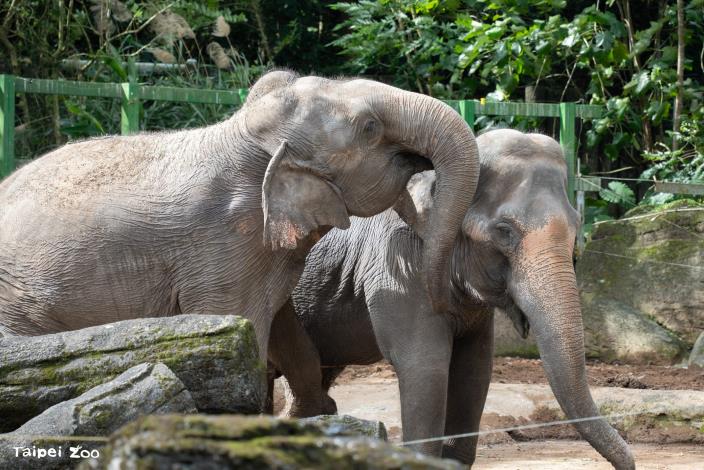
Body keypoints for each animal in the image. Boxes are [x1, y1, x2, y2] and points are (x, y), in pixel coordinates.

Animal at [268, 129, 634, 469]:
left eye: (577, 225)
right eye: (504, 231)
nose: (625, 463)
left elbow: (475, 369)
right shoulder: (398, 266)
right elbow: (425, 367)